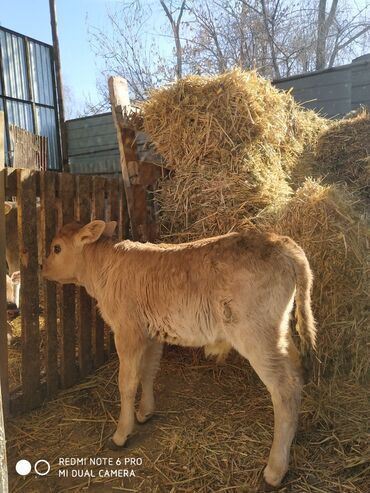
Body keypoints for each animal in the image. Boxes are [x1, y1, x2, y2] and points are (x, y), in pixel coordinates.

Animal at [42, 221, 316, 486]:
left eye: (56, 248)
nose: (42, 268)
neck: (104, 268)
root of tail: (284, 243)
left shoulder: (128, 331)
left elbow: (127, 383)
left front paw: (121, 433)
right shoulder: (151, 333)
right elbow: (148, 372)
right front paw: (145, 412)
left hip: (255, 334)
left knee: (285, 388)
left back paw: (275, 470)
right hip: (279, 332)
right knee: (297, 373)